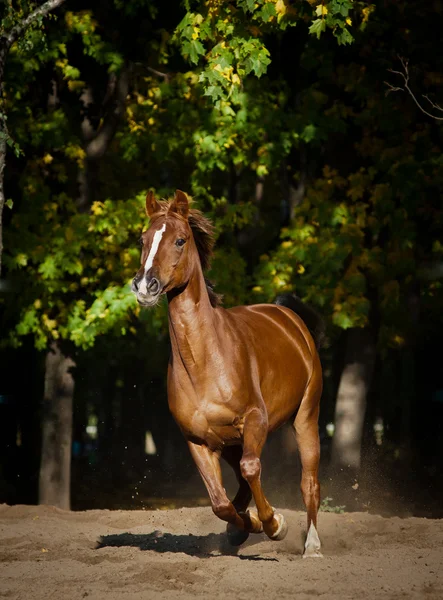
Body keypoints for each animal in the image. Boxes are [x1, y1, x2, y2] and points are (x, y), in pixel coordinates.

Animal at [132, 191, 322, 556]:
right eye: (143, 239)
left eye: (180, 240)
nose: (145, 285)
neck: (205, 362)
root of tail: (288, 317)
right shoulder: (198, 440)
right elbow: (220, 503)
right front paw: (246, 526)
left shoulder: (255, 420)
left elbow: (252, 469)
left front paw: (275, 525)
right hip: (232, 442)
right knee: (242, 488)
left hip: (306, 416)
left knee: (308, 482)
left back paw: (312, 545)